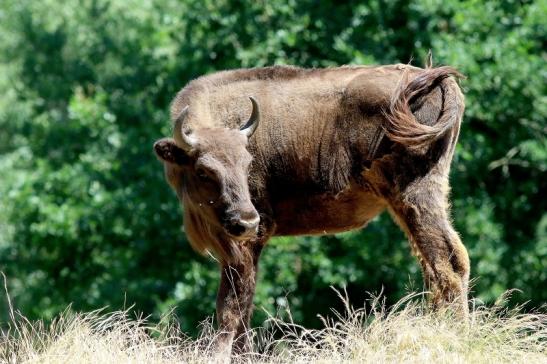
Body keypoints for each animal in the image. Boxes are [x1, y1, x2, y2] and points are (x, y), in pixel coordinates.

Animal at [154, 61, 470, 352]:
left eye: (247, 163)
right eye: (203, 171)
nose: (246, 221)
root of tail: (435, 79)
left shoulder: (246, 244)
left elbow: (231, 307)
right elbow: (243, 307)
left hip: (417, 196)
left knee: (448, 263)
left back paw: (455, 336)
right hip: (406, 205)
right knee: (435, 266)